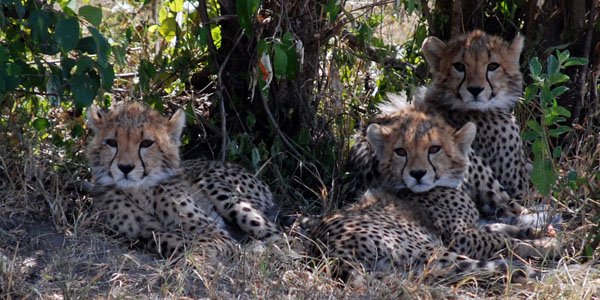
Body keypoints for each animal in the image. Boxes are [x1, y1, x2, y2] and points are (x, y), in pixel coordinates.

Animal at [85, 102, 280, 258]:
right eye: (111, 142)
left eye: (146, 143)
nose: (125, 168)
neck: (140, 192)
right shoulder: (139, 233)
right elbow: (164, 238)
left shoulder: (215, 231)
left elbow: (207, 243)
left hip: (211, 182)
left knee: (281, 238)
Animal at [310, 105, 556, 282]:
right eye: (401, 152)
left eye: (434, 149)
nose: (418, 173)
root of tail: (332, 253)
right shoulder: (459, 238)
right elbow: (502, 239)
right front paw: (543, 243)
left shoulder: (471, 227)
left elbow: (500, 227)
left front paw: (534, 231)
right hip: (432, 251)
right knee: (483, 267)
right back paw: (532, 270)